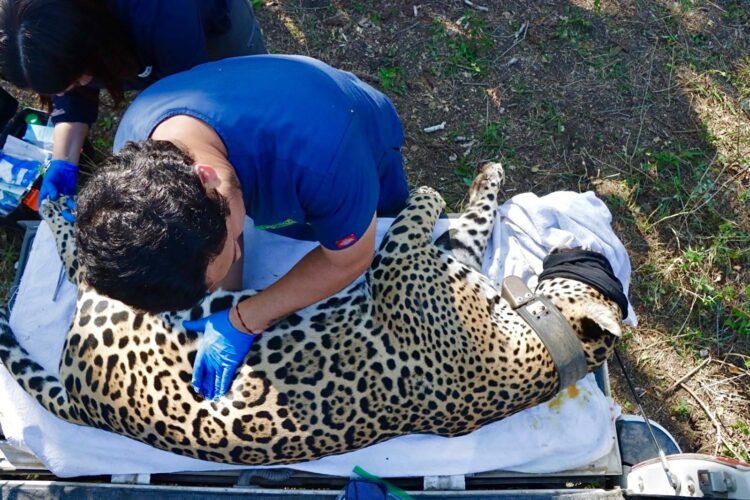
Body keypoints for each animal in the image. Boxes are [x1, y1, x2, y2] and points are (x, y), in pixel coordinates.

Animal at [0, 162, 623, 465]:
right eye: (594, 261)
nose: (581, 245)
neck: (543, 340)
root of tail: (86, 405)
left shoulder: (398, 265)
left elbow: (418, 214)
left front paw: (424, 191)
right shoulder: (448, 259)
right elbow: (476, 219)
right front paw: (485, 178)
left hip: (142, 301)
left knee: (81, 266)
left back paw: (61, 206)